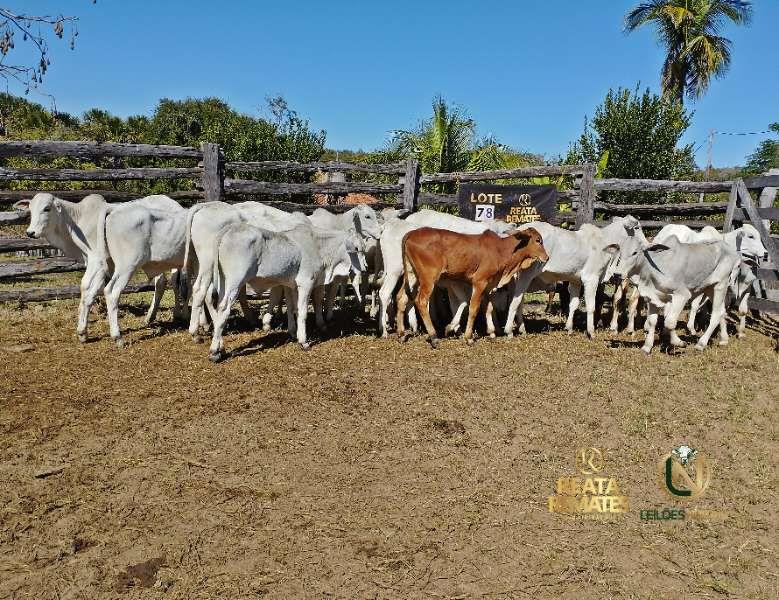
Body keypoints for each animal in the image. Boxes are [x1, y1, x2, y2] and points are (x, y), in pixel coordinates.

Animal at [210, 224, 368, 360]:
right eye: (357, 248)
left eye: (364, 248)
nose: (365, 267)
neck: (319, 246)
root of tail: (230, 229)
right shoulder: (306, 283)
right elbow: (303, 312)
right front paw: (303, 341)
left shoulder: (291, 285)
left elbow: (293, 308)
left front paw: (293, 332)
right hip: (235, 281)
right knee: (223, 309)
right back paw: (214, 351)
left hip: (224, 281)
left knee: (218, 308)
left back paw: (220, 347)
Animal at [396, 225, 548, 346]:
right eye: (538, 240)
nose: (546, 257)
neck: (501, 250)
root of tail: (411, 233)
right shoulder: (479, 282)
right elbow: (474, 308)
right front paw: (468, 337)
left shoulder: (489, 285)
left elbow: (488, 308)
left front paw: (491, 332)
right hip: (428, 278)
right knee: (421, 301)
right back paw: (433, 337)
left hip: (412, 275)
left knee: (401, 298)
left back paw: (401, 334)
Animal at [502, 216, 644, 338]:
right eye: (637, 227)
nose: (646, 243)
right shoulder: (591, 279)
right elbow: (591, 306)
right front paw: (591, 332)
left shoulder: (576, 281)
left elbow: (573, 304)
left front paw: (569, 328)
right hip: (526, 275)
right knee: (515, 301)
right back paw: (509, 331)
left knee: (519, 301)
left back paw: (522, 329)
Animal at [608, 229, 740, 352]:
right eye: (620, 252)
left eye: (635, 252)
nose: (617, 274)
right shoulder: (653, 298)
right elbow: (652, 322)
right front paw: (647, 347)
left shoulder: (681, 295)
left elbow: (669, 322)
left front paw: (679, 342)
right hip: (709, 288)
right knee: (722, 311)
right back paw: (724, 339)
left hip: (720, 285)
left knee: (716, 314)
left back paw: (701, 344)